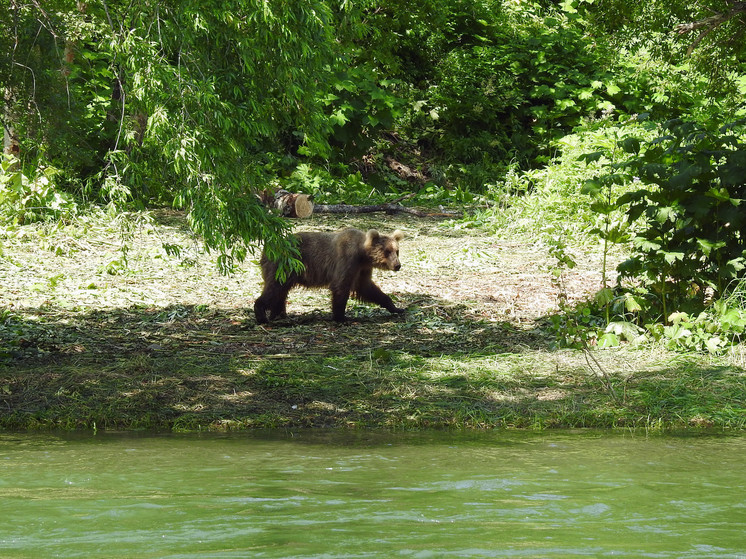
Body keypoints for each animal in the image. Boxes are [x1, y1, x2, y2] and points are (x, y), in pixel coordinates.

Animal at [254, 229, 406, 324]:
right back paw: (262, 315)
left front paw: (396, 308)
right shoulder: (347, 260)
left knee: (280, 292)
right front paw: (341, 317)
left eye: (397, 251)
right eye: (387, 251)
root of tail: (266, 249)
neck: (362, 255)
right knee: (274, 288)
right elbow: (341, 286)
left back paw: (279, 314)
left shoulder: (362, 269)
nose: (397, 265)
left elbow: (367, 288)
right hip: (284, 266)